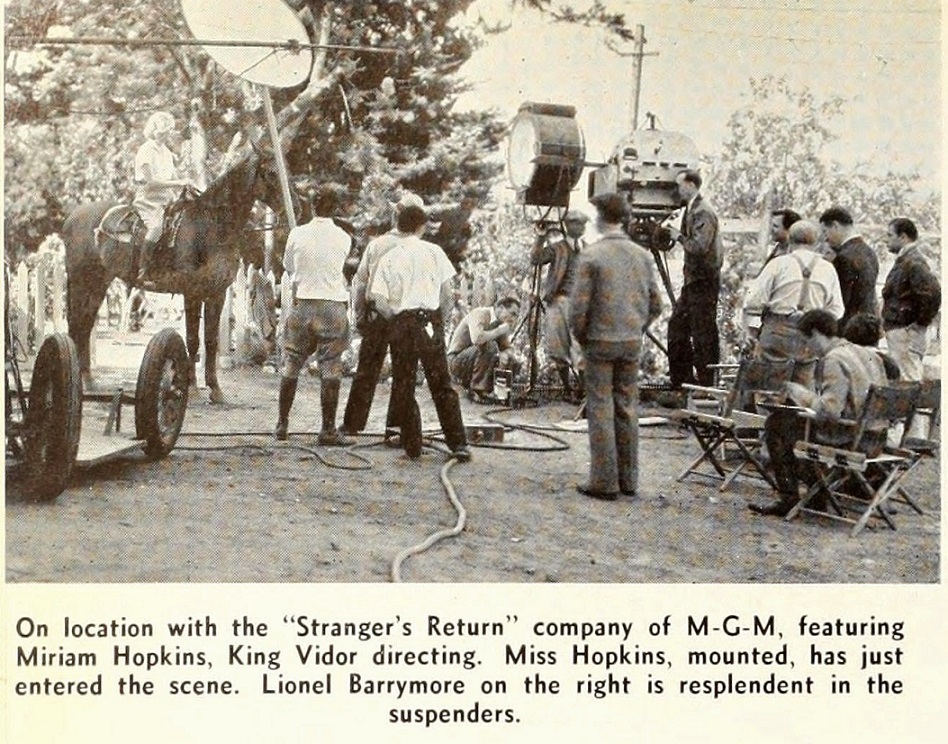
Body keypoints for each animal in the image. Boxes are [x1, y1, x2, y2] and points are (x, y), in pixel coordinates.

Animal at [59, 151, 280, 404]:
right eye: (271, 172)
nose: (294, 203)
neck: (211, 226)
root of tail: (72, 218)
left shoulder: (217, 293)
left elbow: (211, 341)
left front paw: (215, 390)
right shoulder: (192, 292)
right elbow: (193, 339)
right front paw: (192, 388)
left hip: (98, 283)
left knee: (85, 325)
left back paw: (88, 380)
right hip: (82, 281)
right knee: (78, 324)